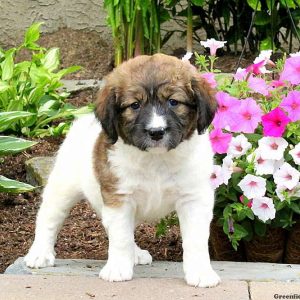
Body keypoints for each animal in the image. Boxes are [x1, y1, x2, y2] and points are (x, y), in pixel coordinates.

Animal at [25, 54, 220, 288]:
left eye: (173, 102)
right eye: (134, 105)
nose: (156, 132)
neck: (156, 160)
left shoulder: (194, 198)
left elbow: (195, 240)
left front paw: (200, 272)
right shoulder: (119, 198)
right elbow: (121, 237)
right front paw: (117, 268)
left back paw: (134, 254)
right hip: (63, 187)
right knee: (48, 218)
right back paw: (40, 253)